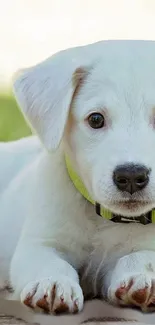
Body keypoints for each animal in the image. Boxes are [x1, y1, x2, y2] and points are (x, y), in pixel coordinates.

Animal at [0, 39, 155, 312]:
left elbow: (142, 256)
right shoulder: (38, 243)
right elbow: (50, 261)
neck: (105, 220)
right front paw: (52, 282)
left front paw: (141, 276)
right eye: (96, 119)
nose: (131, 176)